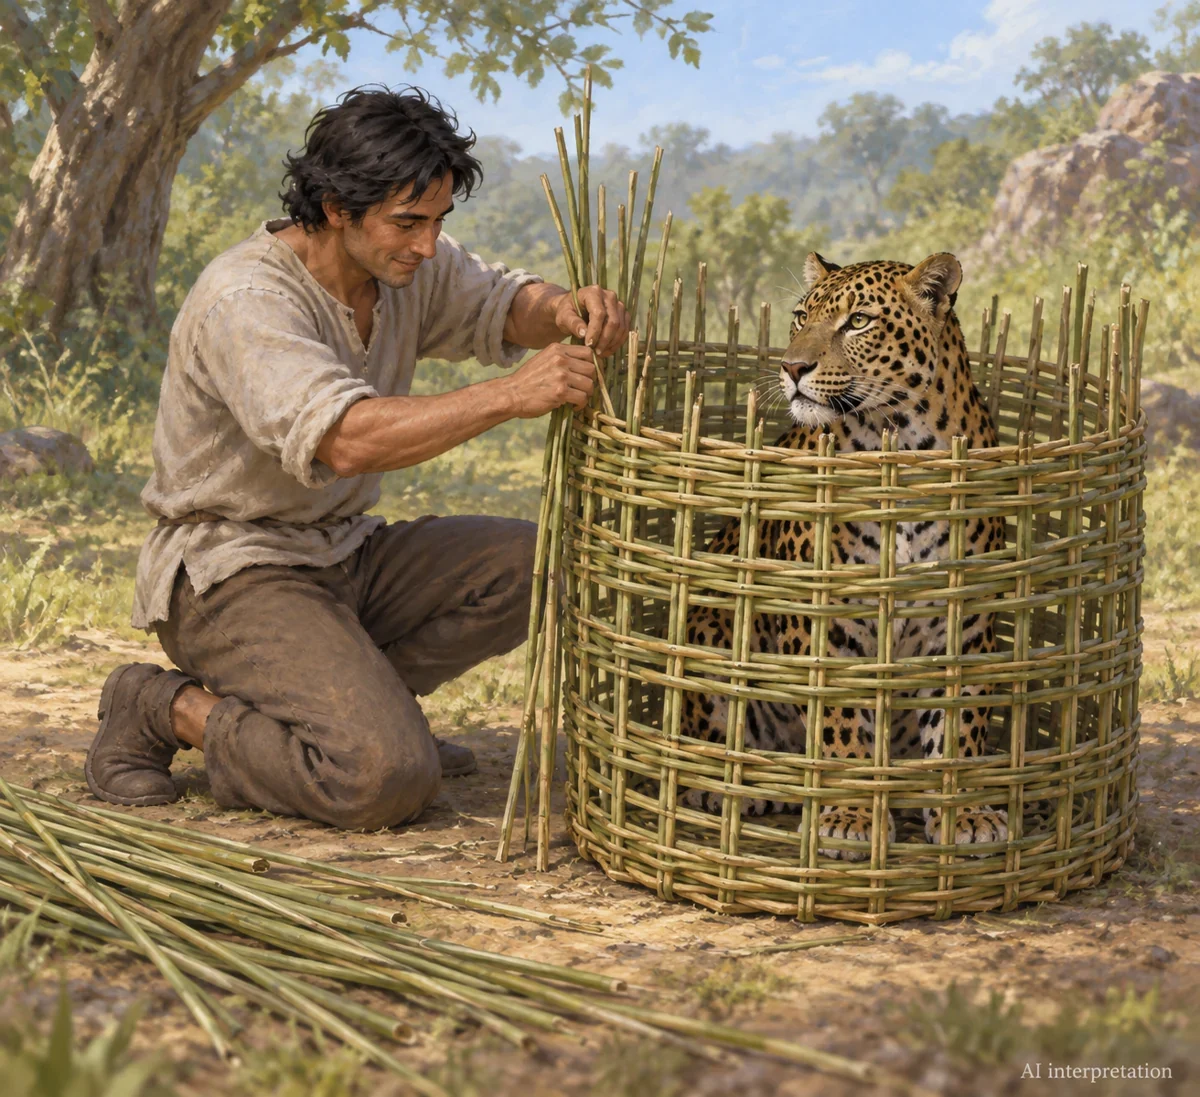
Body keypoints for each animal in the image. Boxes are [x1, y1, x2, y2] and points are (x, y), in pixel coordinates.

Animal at [678, 251, 1009, 860]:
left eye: (858, 322)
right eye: (800, 316)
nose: (791, 367)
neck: (902, 446)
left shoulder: (967, 618)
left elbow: (961, 720)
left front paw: (966, 812)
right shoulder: (827, 618)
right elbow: (840, 717)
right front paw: (849, 818)